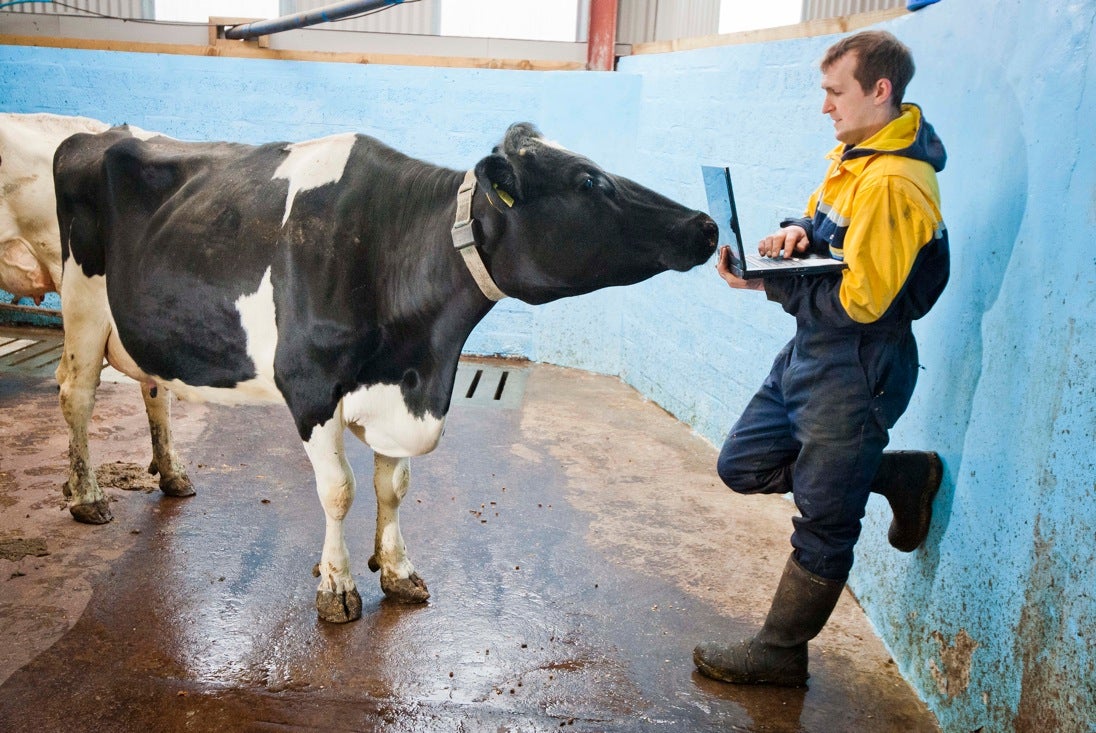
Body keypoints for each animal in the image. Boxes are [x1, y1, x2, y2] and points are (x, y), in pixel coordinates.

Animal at [53, 122, 718, 622]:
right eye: (588, 181)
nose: (706, 226)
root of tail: (95, 134)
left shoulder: (401, 385)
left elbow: (393, 486)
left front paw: (396, 570)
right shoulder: (311, 385)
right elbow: (339, 490)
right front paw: (337, 586)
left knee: (153, 388)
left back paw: (172, 475)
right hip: (82, 302)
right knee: (75, 394)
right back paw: (87, 496)